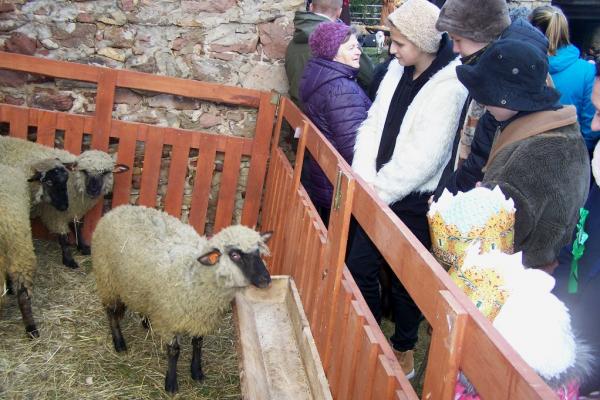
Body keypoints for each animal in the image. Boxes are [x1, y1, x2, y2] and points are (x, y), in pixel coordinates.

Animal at [92, 206, 272, 394]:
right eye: (235, 255)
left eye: (258, 252)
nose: (266, 279)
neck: (194, 275)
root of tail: (116, 209)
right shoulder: (169, 319)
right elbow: (174, 351)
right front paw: (171, 383)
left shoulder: (200, 316)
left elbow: (198, 344)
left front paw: (196, 372)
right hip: (107, 279)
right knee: (110, 312)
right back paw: (119, 343)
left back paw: (146, 322)